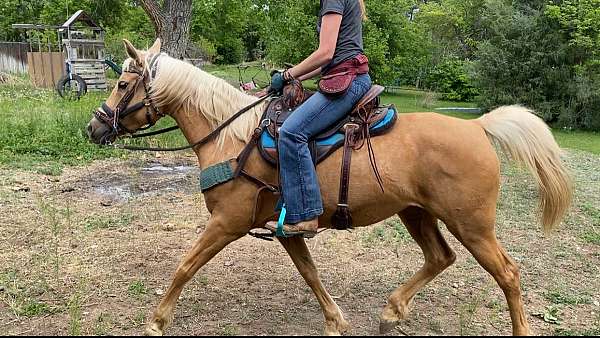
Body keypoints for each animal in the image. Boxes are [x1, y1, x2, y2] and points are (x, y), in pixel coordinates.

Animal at [85, 40, 572, 336]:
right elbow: (310, 272)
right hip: (416, 212)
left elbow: (185, 266)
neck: (231, 137)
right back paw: (391, 311)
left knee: (508, 273)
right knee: (440, 258)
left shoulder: (226, 223)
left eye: (123, 84)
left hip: (471, 224)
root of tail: (477, 128)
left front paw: (156, 321)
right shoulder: (286, 229)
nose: (94, 126)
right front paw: (336, 321)